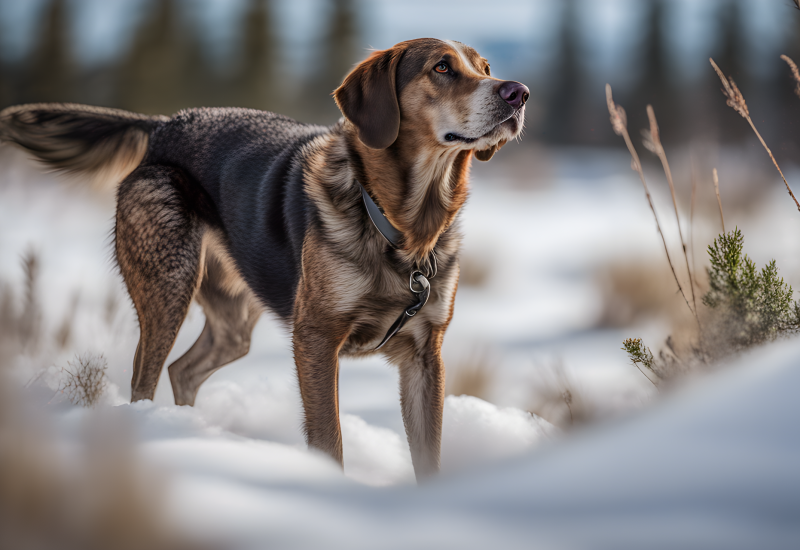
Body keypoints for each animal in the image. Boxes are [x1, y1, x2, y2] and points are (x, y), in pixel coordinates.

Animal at [0, 38, 528, 480]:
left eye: (485, 69)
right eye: (442, 67)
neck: (406, 227)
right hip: (170, 285)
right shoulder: (316, 339)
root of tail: (165, 124)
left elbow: (428, 456)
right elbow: (328, 438)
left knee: (183, 369)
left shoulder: (424, 356)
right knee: (144, 376)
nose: (519, 93)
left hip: (234, 319)